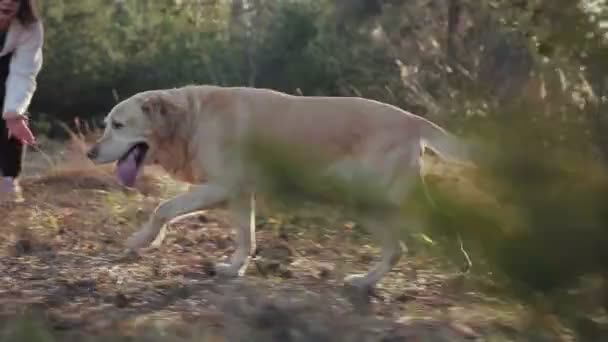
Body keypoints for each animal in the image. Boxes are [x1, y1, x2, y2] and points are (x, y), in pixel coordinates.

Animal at [85, 85, 468, 292]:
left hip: (375, 201)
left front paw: (141, 241)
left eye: (118, 125)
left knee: (421, 236)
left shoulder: (221, 186)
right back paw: (367, 281)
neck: (191, 120)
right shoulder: (239, 194)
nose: (90, 153)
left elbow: (161, 209)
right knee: (404, 245)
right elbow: (246, 237)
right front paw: (234, 269)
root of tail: (413, 120)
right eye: (106, 124)